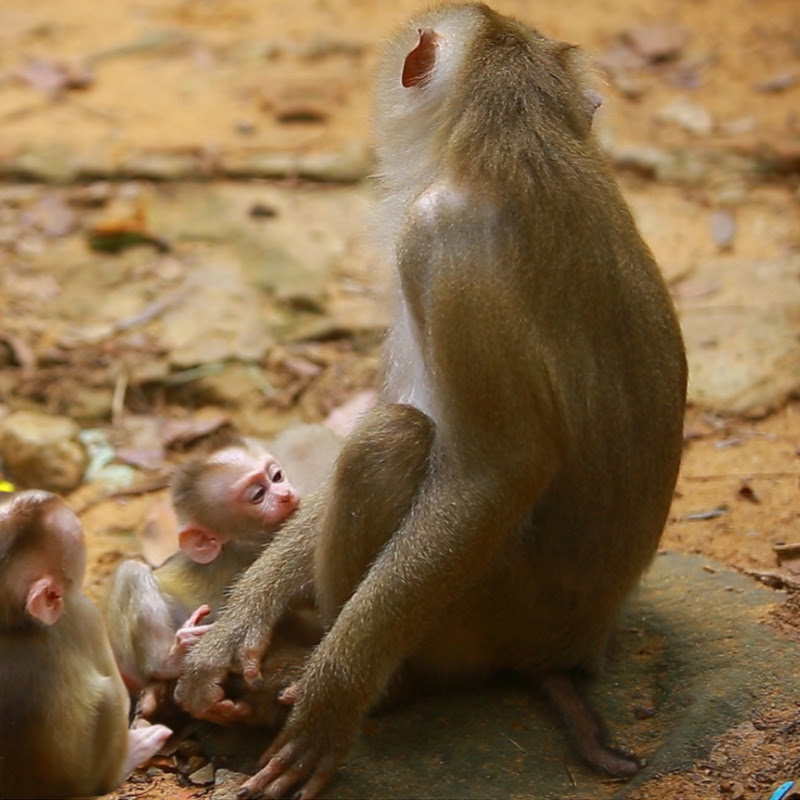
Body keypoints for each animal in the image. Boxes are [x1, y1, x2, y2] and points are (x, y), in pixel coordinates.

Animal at [174, 5, 687, 798]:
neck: (516, 143)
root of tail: (571, 647)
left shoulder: (436, 241)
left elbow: (493, 472)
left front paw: (331, 696)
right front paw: (235, 631)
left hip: (475, 620)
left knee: (389, 441)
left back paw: (378, 688)